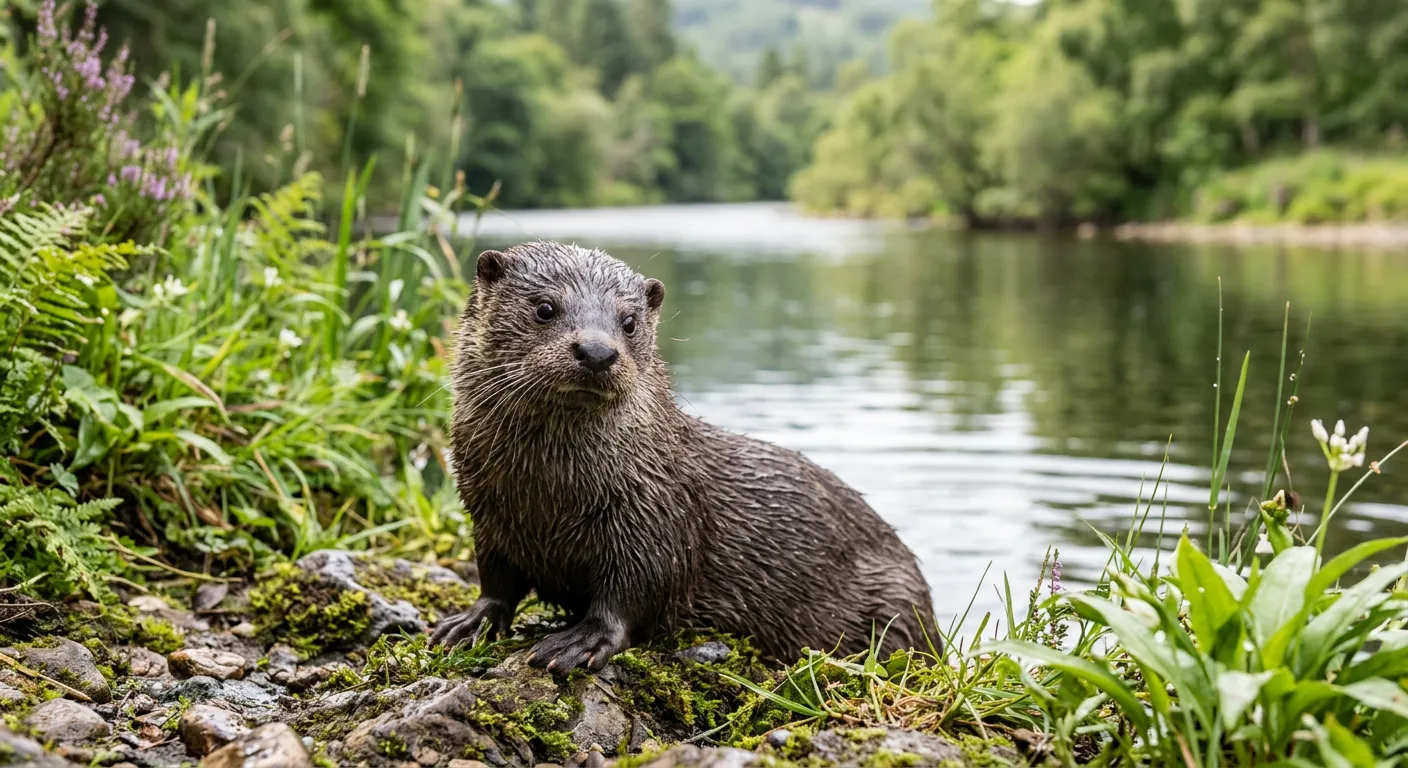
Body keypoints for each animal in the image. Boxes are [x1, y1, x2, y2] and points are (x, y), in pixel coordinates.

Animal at [430, 241, 935, 673]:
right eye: (544, 308)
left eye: (629, 321)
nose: (597, 351)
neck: (548, 495)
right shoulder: (487, 514)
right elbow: (496, 578)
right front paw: (470, 621)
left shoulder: (657, 515)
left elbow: (637, 590)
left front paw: (582, 639)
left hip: (897, 600)